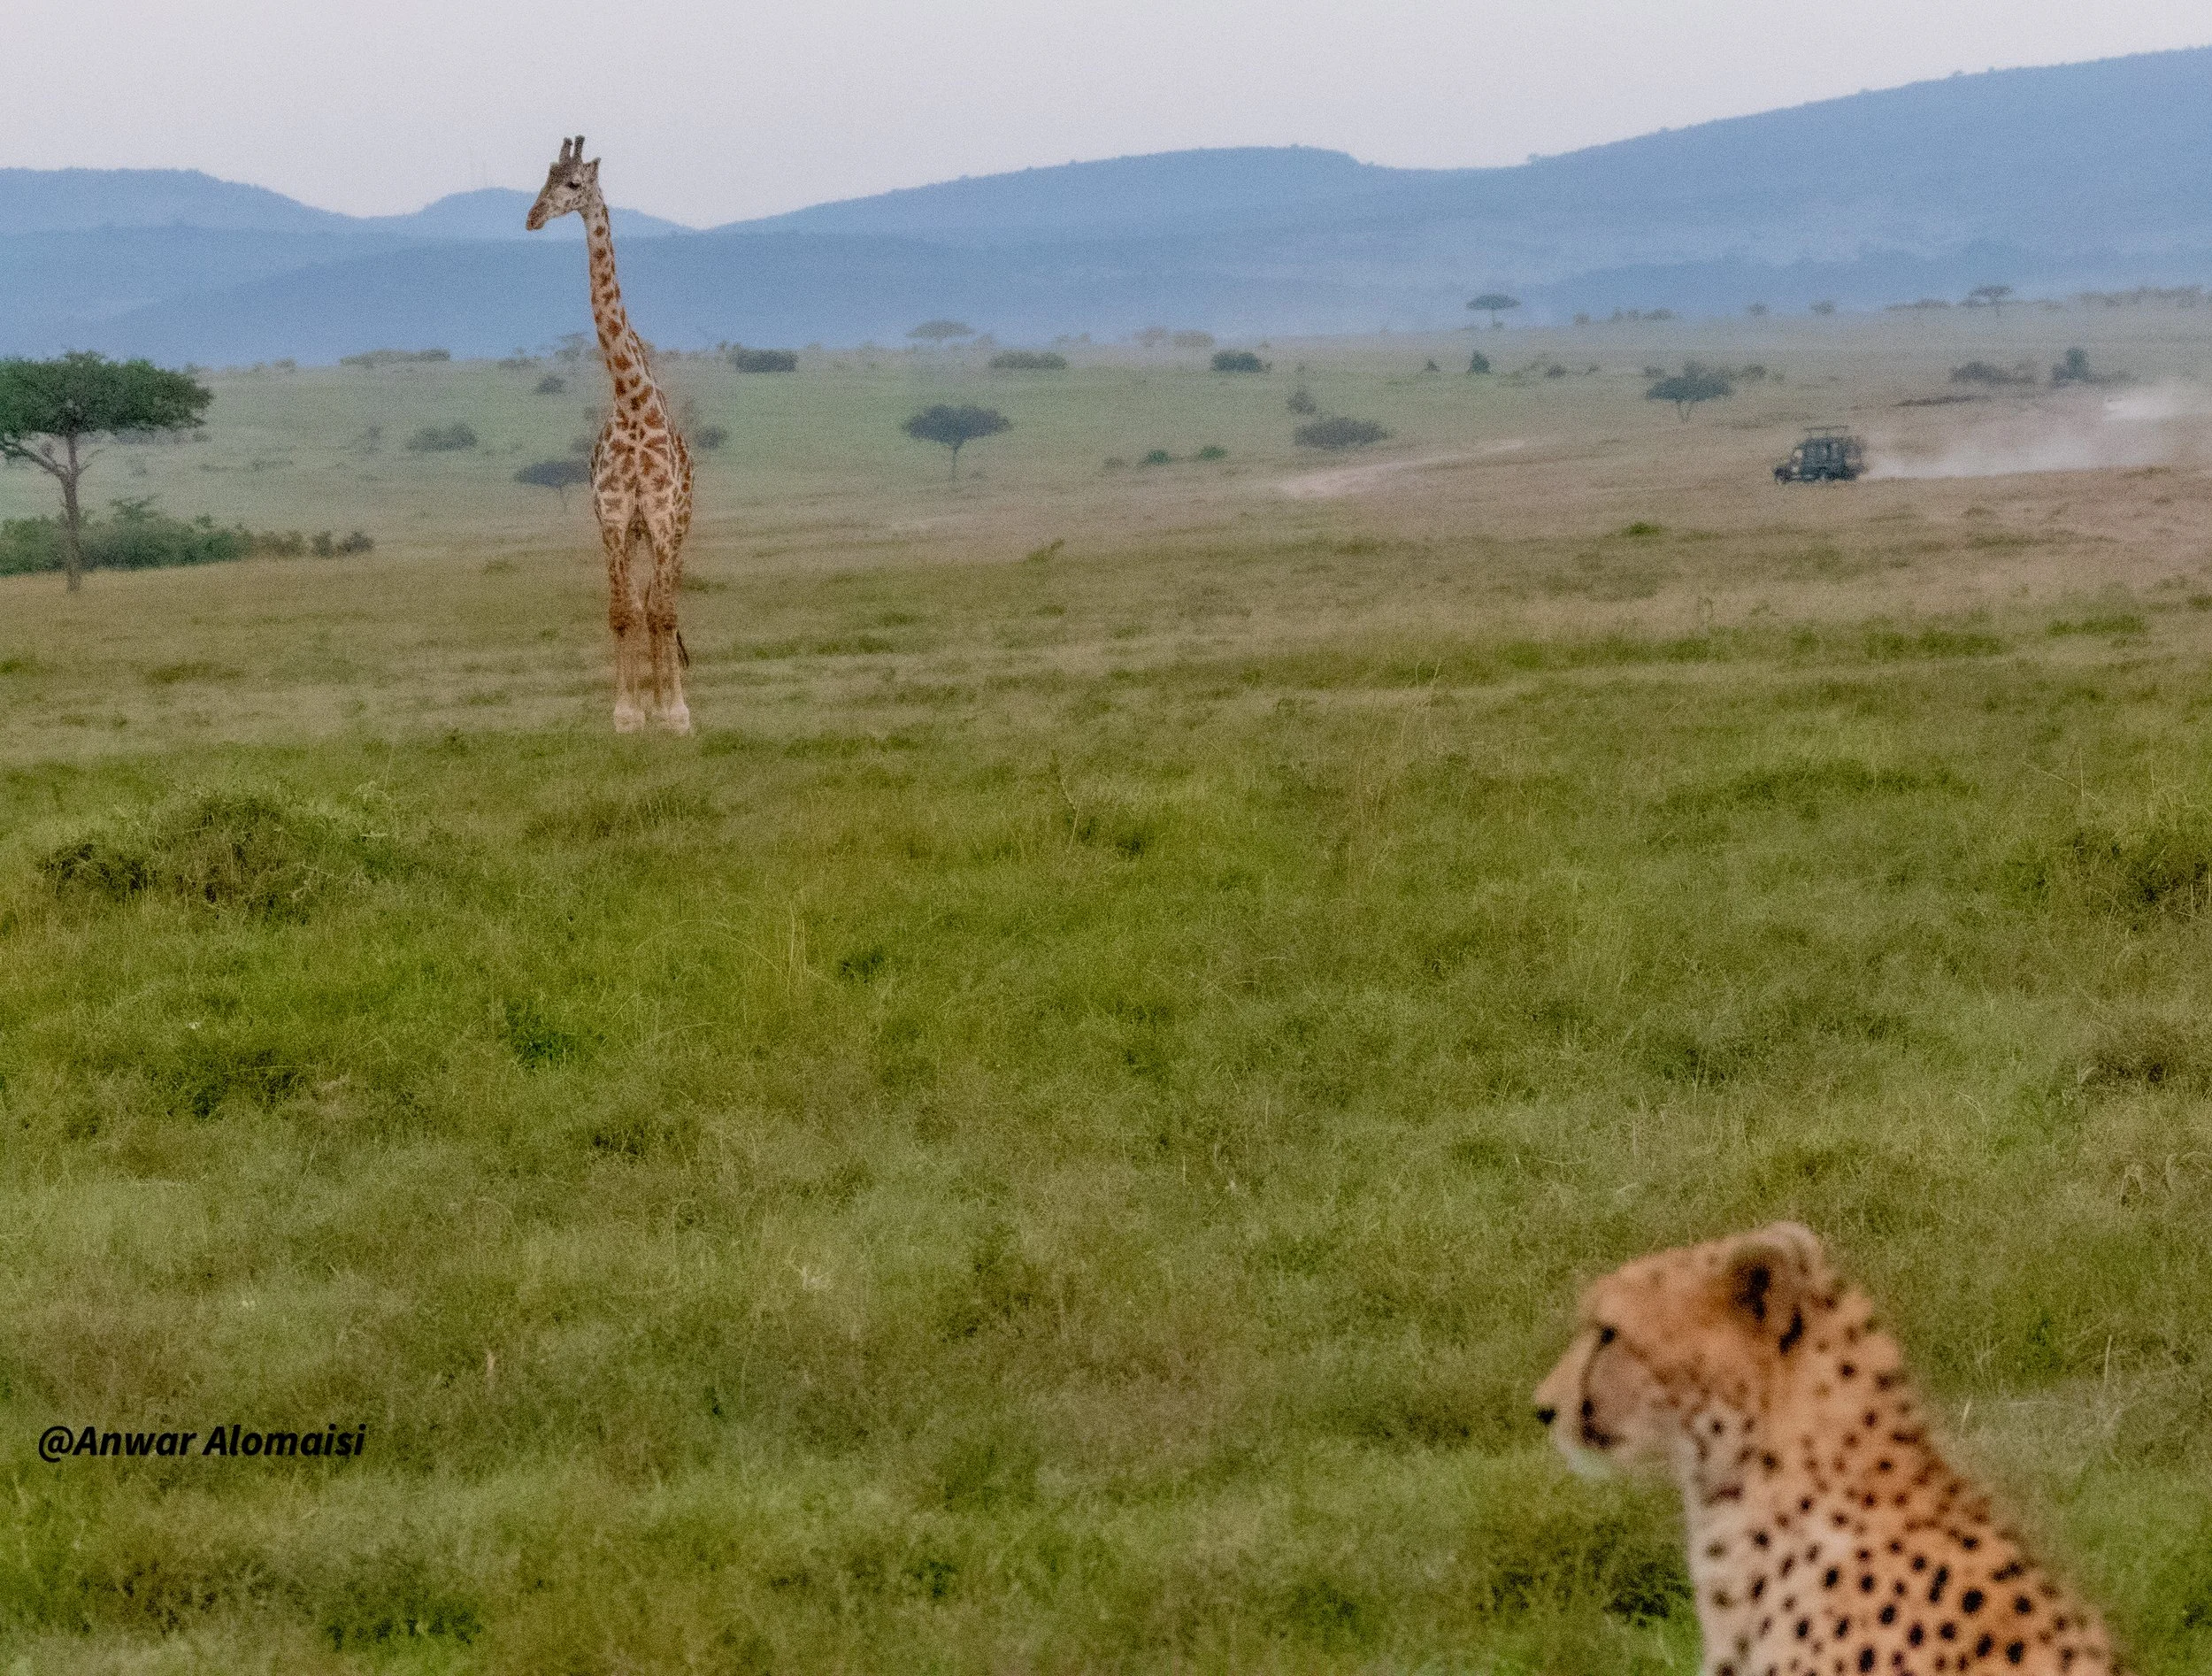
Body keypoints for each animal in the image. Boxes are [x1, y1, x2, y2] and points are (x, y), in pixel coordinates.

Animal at [526, 136, 693, 733]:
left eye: (575, 184)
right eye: (545, 177)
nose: (532, 216)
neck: (632, 400)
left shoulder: (662, 512)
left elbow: (662, 612)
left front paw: (675, 714)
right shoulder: (616, 513)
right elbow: (624, 611)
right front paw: (627, 713)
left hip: (678, 525)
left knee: (663, 605)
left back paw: (668, 701)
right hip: (637, 530)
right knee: (641, 604)